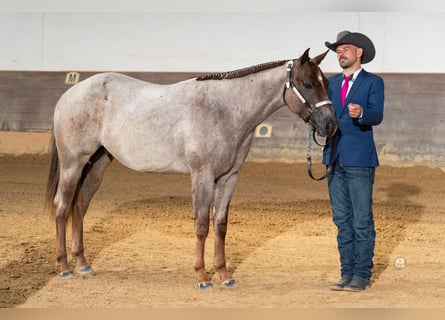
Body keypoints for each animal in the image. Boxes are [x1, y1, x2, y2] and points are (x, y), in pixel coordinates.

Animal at [45, 48, 336, 290]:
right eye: (308, 83)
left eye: (326, 83)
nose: (330, 125)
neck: (225, 110)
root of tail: (70, 93)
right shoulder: (202, 175)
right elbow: (201, 225)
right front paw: (202, 276)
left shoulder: (228, 178)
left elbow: (220, 225)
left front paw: (224, 275)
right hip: (73, 164)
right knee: (62, 207)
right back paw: (64, 266)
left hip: (96, 166)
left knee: (80, 207)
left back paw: (83, 264)